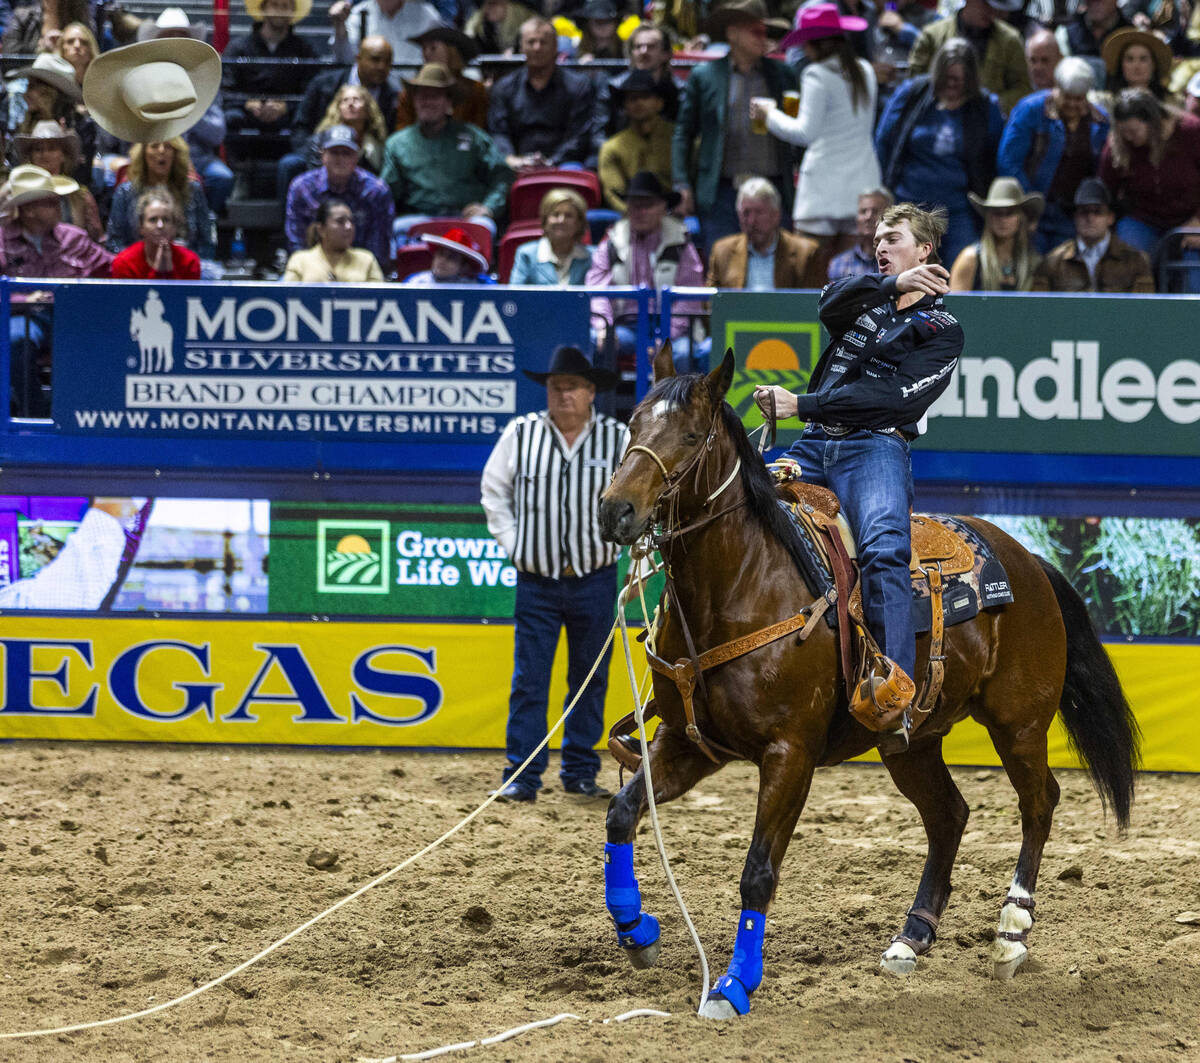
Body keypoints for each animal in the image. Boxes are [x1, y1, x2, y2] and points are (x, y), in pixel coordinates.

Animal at [595, 345, 1137, 1017]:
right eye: (632, 425)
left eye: (692, 436)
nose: (615, 511)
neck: (742, 584)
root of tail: (1029, 561)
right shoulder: (689, 742)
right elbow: (621, 812)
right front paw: (636, 930)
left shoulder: (789, 754)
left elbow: (757, 871)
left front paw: (734, 984)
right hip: (911, 741)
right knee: (950, 815)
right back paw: (912, 936)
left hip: (1019, 722)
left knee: (1039, 804)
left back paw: (1011, 934)